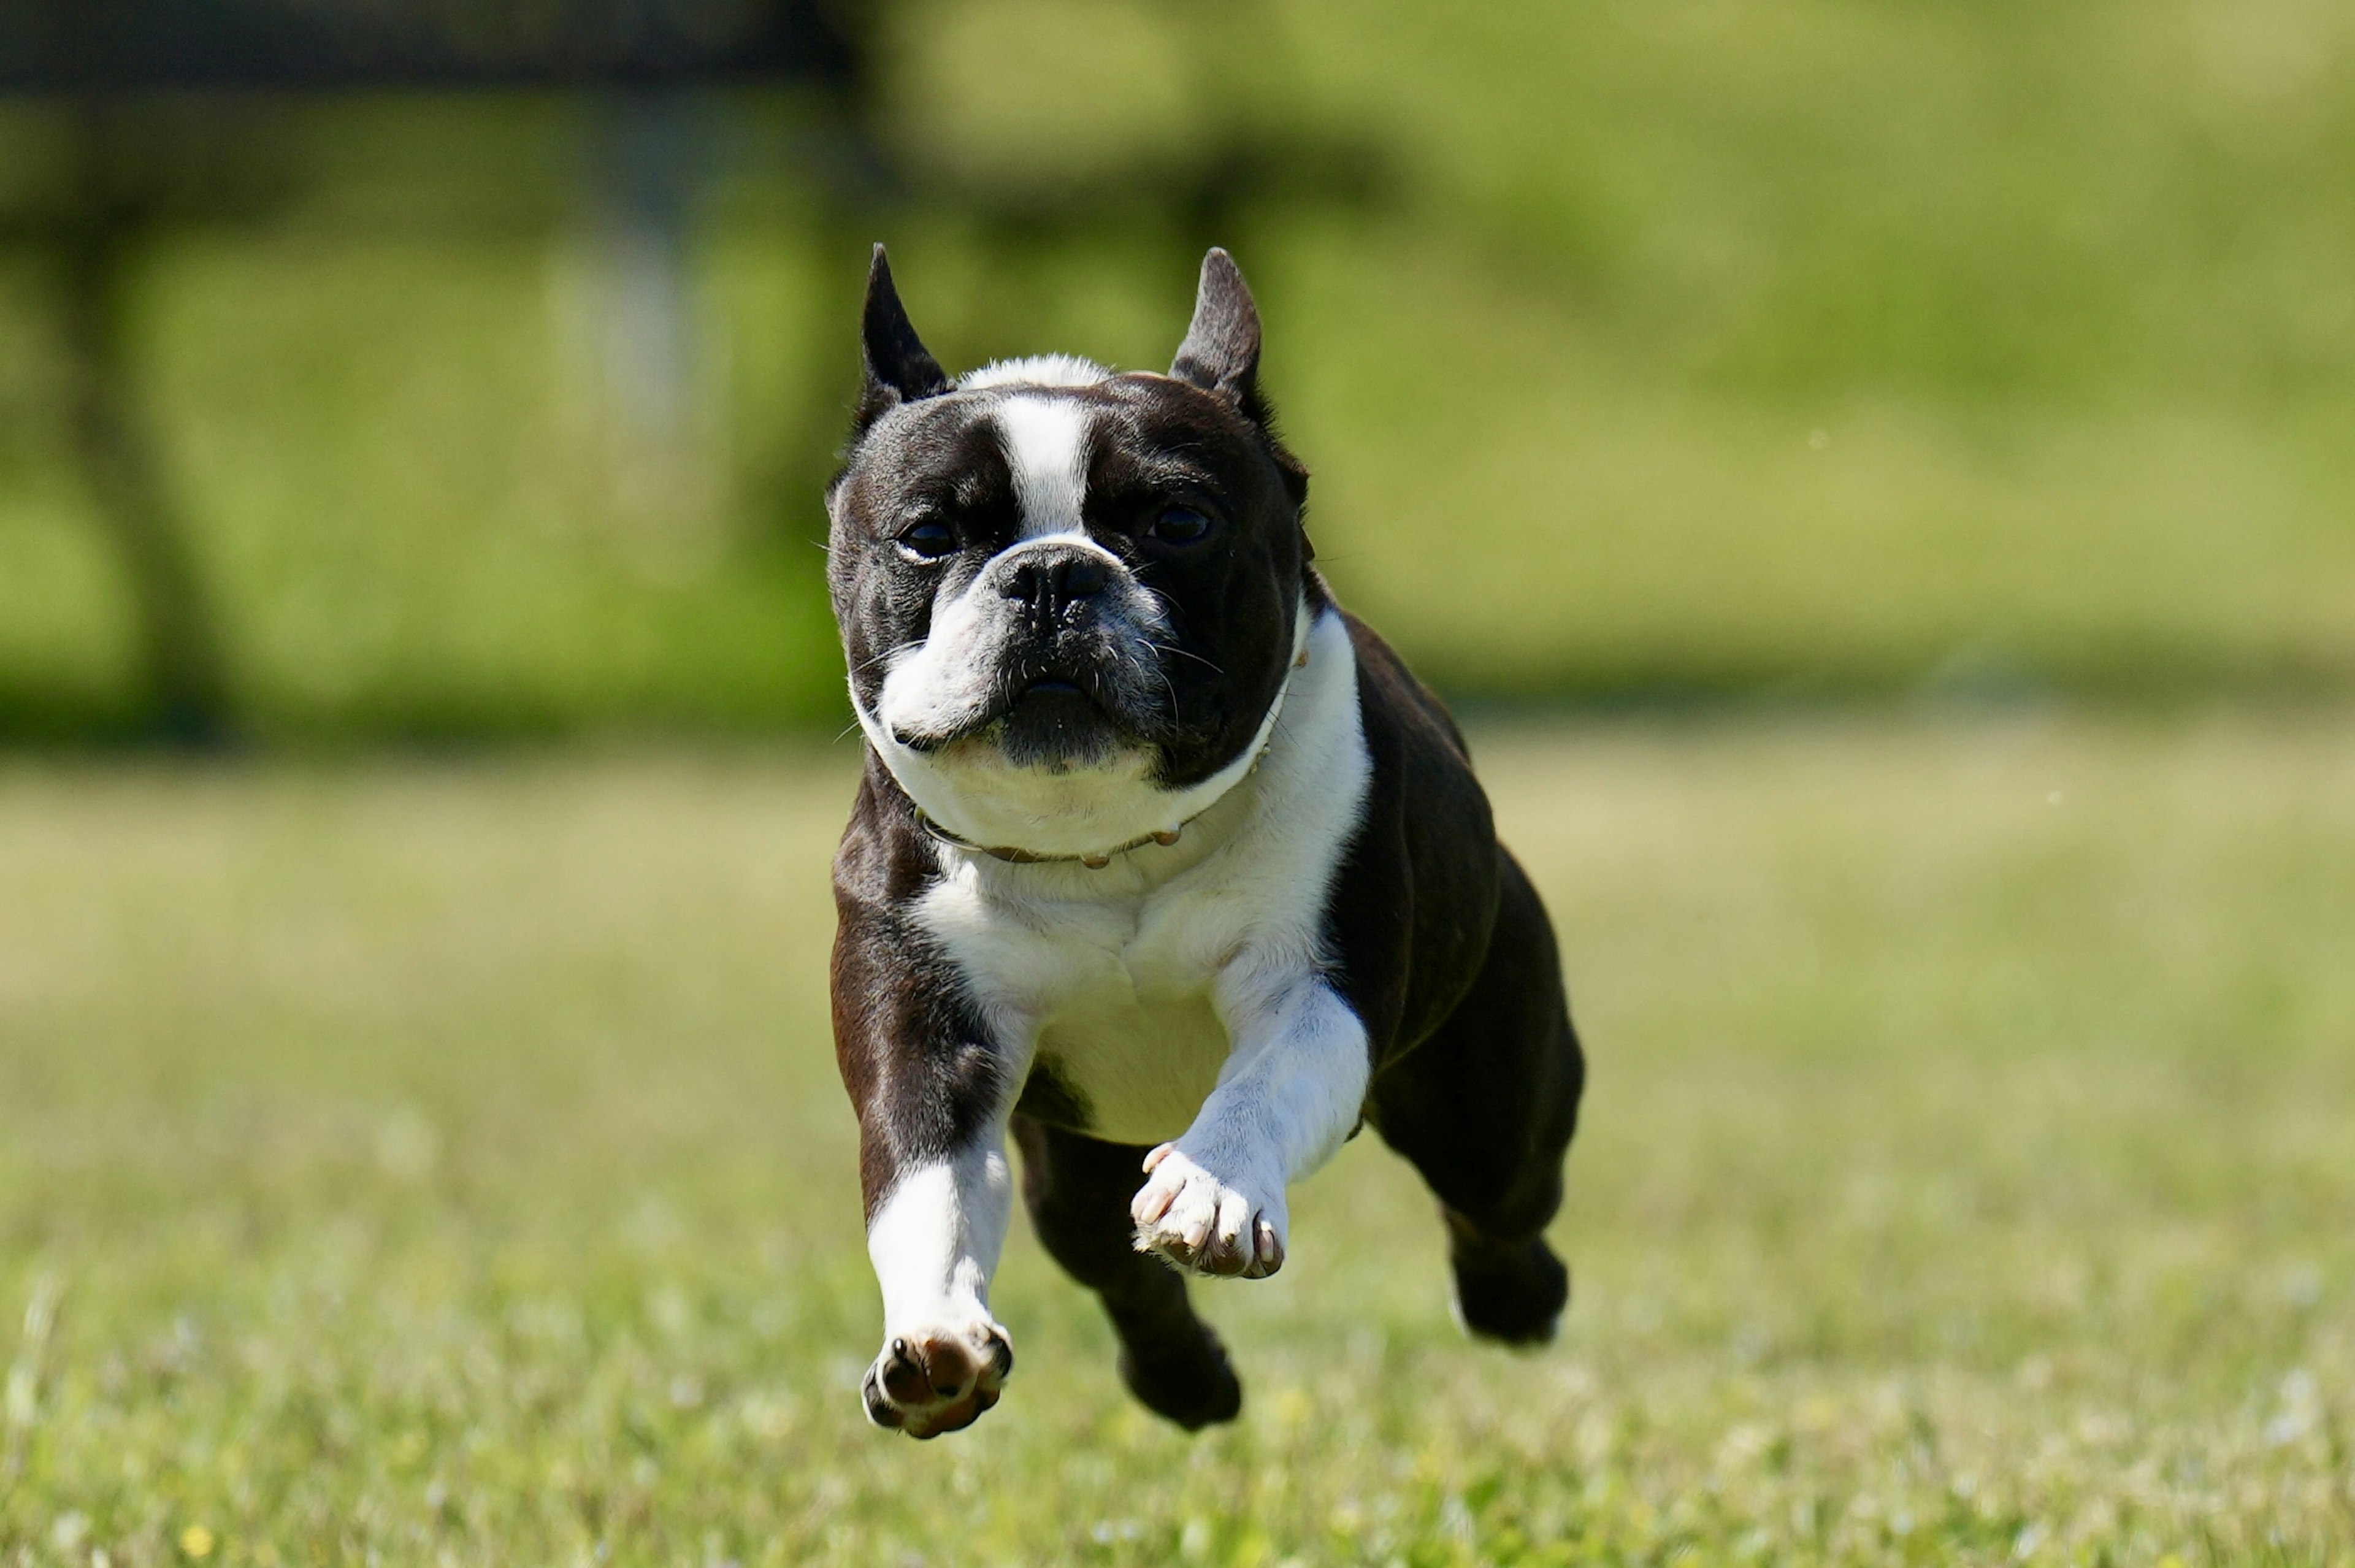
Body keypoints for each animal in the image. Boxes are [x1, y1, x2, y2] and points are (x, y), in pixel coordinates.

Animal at [829, 245, 1582, 1431]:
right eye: (928, 536)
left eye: (1180, 524)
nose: (1051, 573)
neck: (1110, 849)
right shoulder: (925, 1028)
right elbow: (924, 1185)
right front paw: (935, 1333)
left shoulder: (1314, 986)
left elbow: (1265, 1082)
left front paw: (1215, 1190)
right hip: (1072, 1165)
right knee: (1109, 1260)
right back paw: (1186, 1383)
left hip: (1490, 1095)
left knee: (1497, 1202)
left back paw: (1516, 1300)